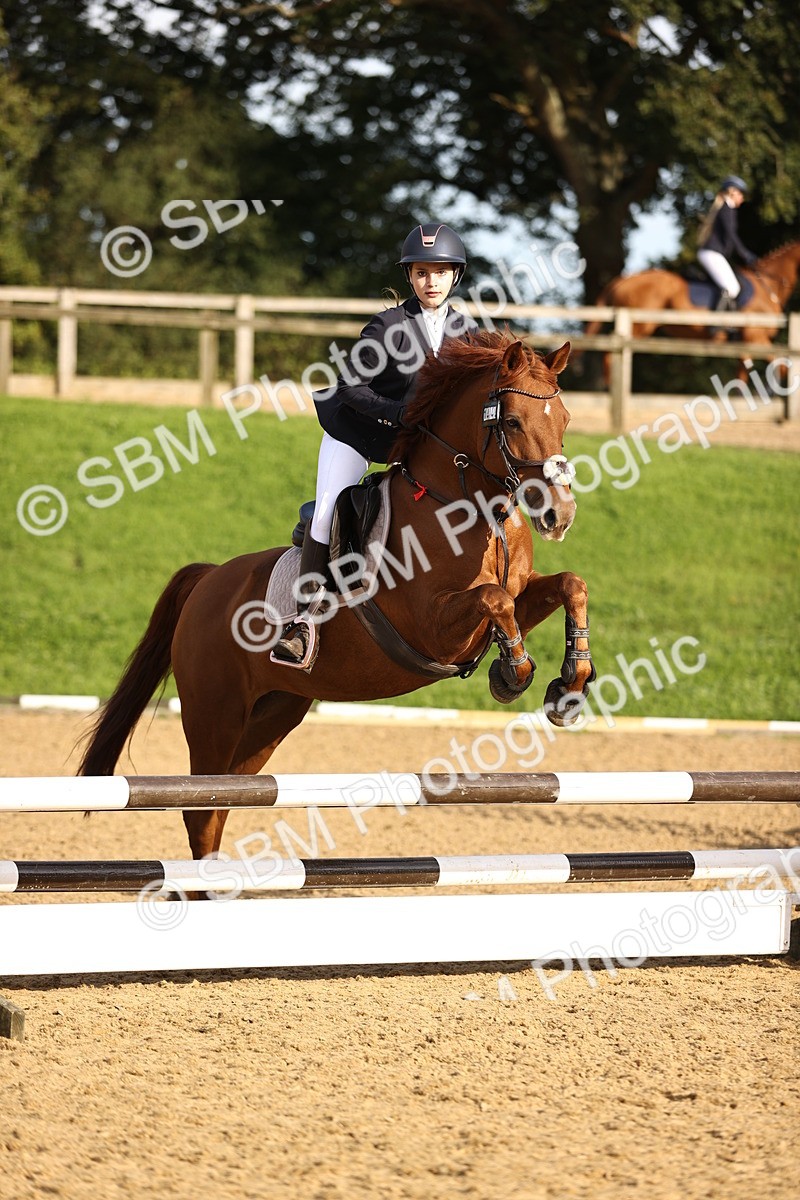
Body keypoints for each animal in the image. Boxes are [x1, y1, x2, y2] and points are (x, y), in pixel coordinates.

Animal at [78, 330, 595, 864]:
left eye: (565, 420)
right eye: (512, 421)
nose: (559, 514)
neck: (465, 507)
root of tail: (207, 580)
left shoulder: (511, 599)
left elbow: (568, 585)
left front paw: (570, 685)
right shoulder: (432, 628)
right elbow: (495, 600)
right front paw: (512, 673)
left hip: (273, 712)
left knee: (223, 804)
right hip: (214, 715)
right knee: (201, 810)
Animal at [584, 241, 800, 380]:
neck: (769, 287)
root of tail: (623, 280)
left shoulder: (744, 344)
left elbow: (743, 376)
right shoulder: (756, 338)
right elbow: (782, 368)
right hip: (638, 327)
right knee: (611, 357)